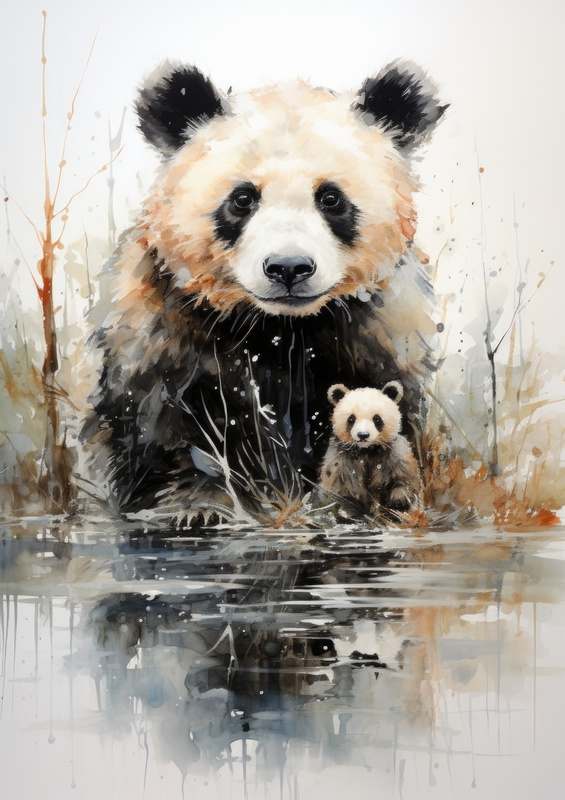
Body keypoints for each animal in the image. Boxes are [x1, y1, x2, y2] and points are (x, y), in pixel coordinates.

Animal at [320, 381, 422, 515]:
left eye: (377, 419)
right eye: (351, 419)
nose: (363, 435)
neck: (366, 450)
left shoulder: (394, 452)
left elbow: (405, 477)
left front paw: (398, 501)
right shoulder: (340, 458)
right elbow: (337, 484)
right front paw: (348, 508)